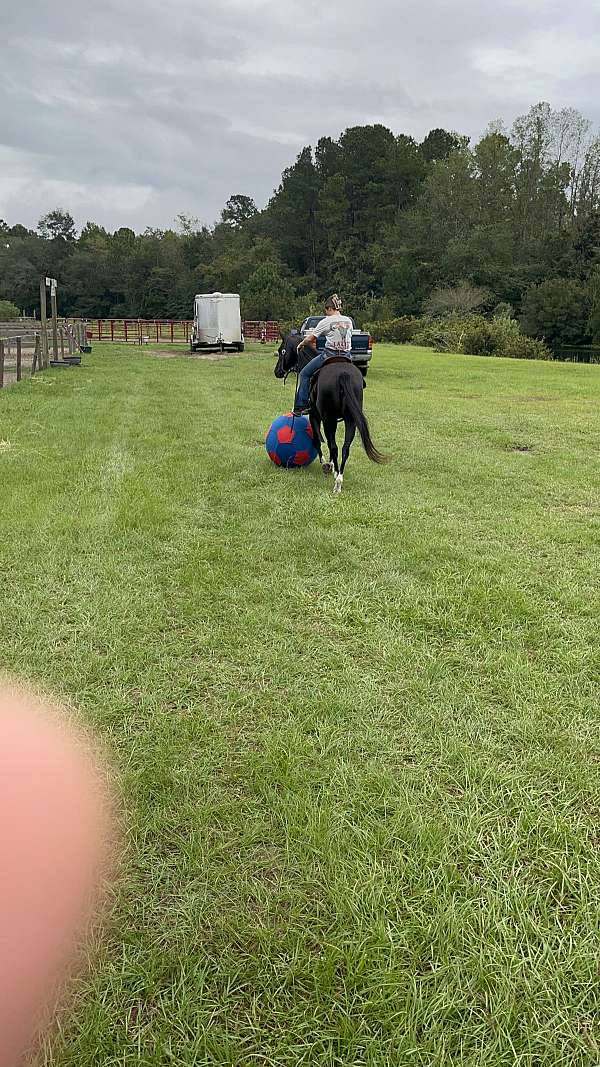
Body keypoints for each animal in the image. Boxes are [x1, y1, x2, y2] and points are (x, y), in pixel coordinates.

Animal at [273, 332, 384, 490]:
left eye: (281, 350)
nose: (277, 371)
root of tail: (343, 374)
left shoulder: (314, 416)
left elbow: (317, 440)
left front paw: (326, 464)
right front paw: (331, 465)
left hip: (327, 419)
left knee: (334, 446)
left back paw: (335, 477)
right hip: (350, 420)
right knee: (344, 448)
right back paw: (339, 479)